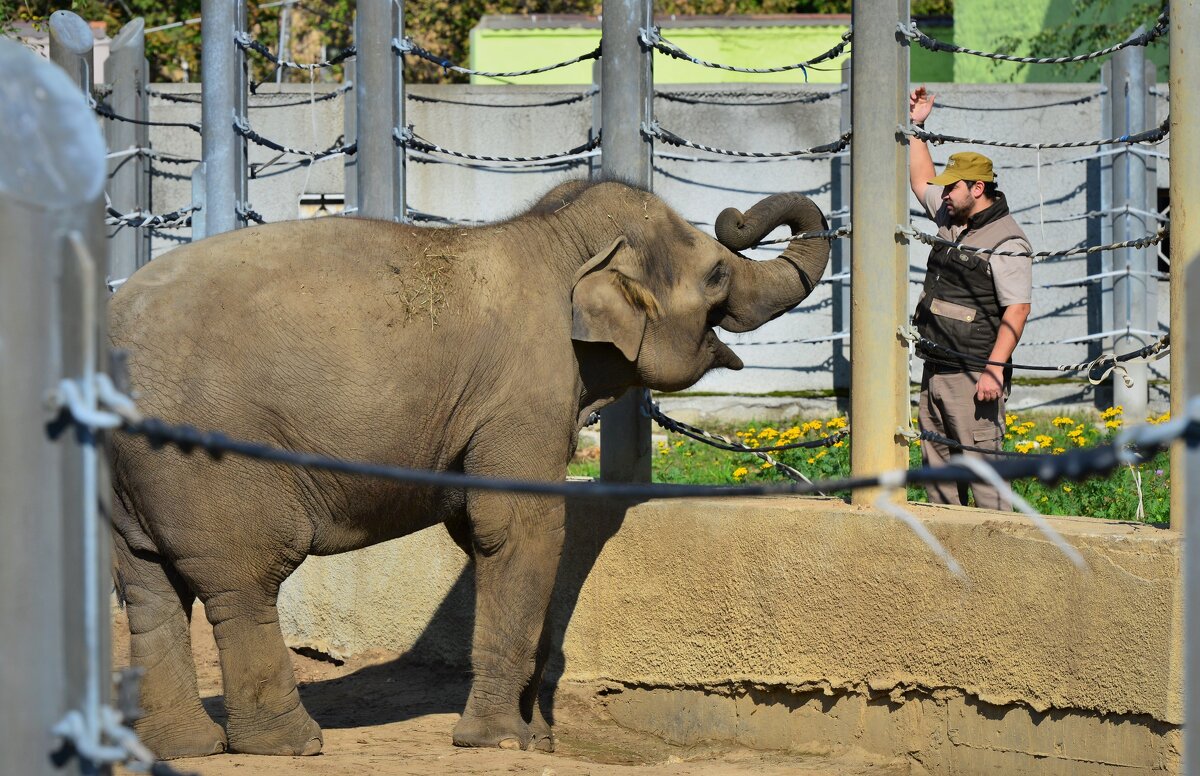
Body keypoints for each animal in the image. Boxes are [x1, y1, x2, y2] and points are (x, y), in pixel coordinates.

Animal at [108, 177, 830, 758]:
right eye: (716, 275)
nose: (736, 215)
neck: (556, 236)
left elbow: (480, 535)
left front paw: (535, 736)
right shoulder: (527, 392)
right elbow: (519, 528)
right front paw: (503, 741)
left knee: (148, 588)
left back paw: (182, 747)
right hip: (209, 465)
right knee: (242, 585)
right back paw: (290, 745)